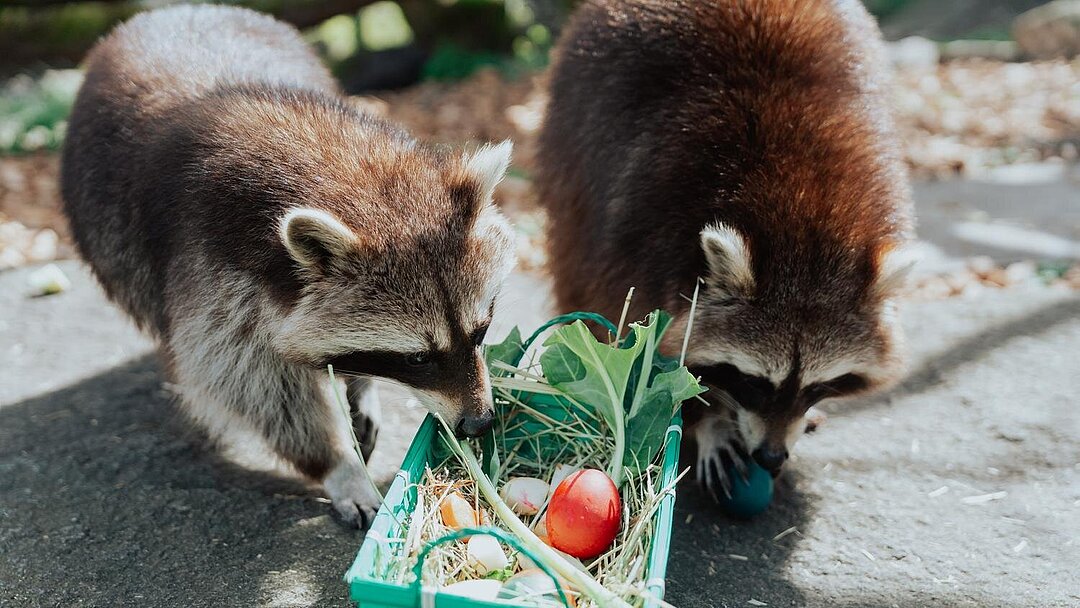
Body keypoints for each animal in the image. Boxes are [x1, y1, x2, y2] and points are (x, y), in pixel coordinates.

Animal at [61, 5, 516, 529]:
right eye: (418, 359)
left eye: (481, 331)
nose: (479, 423)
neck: (342, 172)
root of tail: (171, 10)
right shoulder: (210, 267)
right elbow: (248, 379)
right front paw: (337, 464)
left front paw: (359, 383)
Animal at [537, 0, 911, 498]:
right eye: (753, 382)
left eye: (815, 386)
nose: (770, 457)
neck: (805, 223)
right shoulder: (641, 233)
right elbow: (651, 353)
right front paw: (709, 419)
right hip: (572, 149)